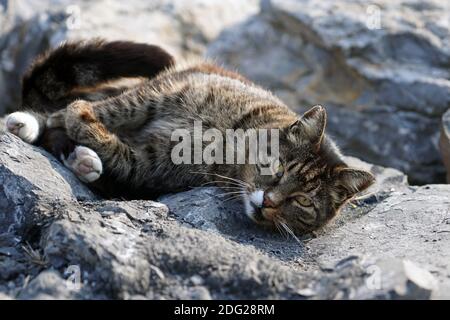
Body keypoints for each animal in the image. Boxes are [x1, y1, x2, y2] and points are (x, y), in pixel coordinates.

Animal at [5, 40, 374, 235]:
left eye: (303, 202)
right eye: (278, 168)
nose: (268, 202)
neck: (227, 144)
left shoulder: (151, 165)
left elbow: (116, 149)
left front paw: (86, 132)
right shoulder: (161, 92)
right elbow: (99, 110)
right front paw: (76, 115)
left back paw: (84, 160)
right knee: (65, 106)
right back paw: (30, 122)